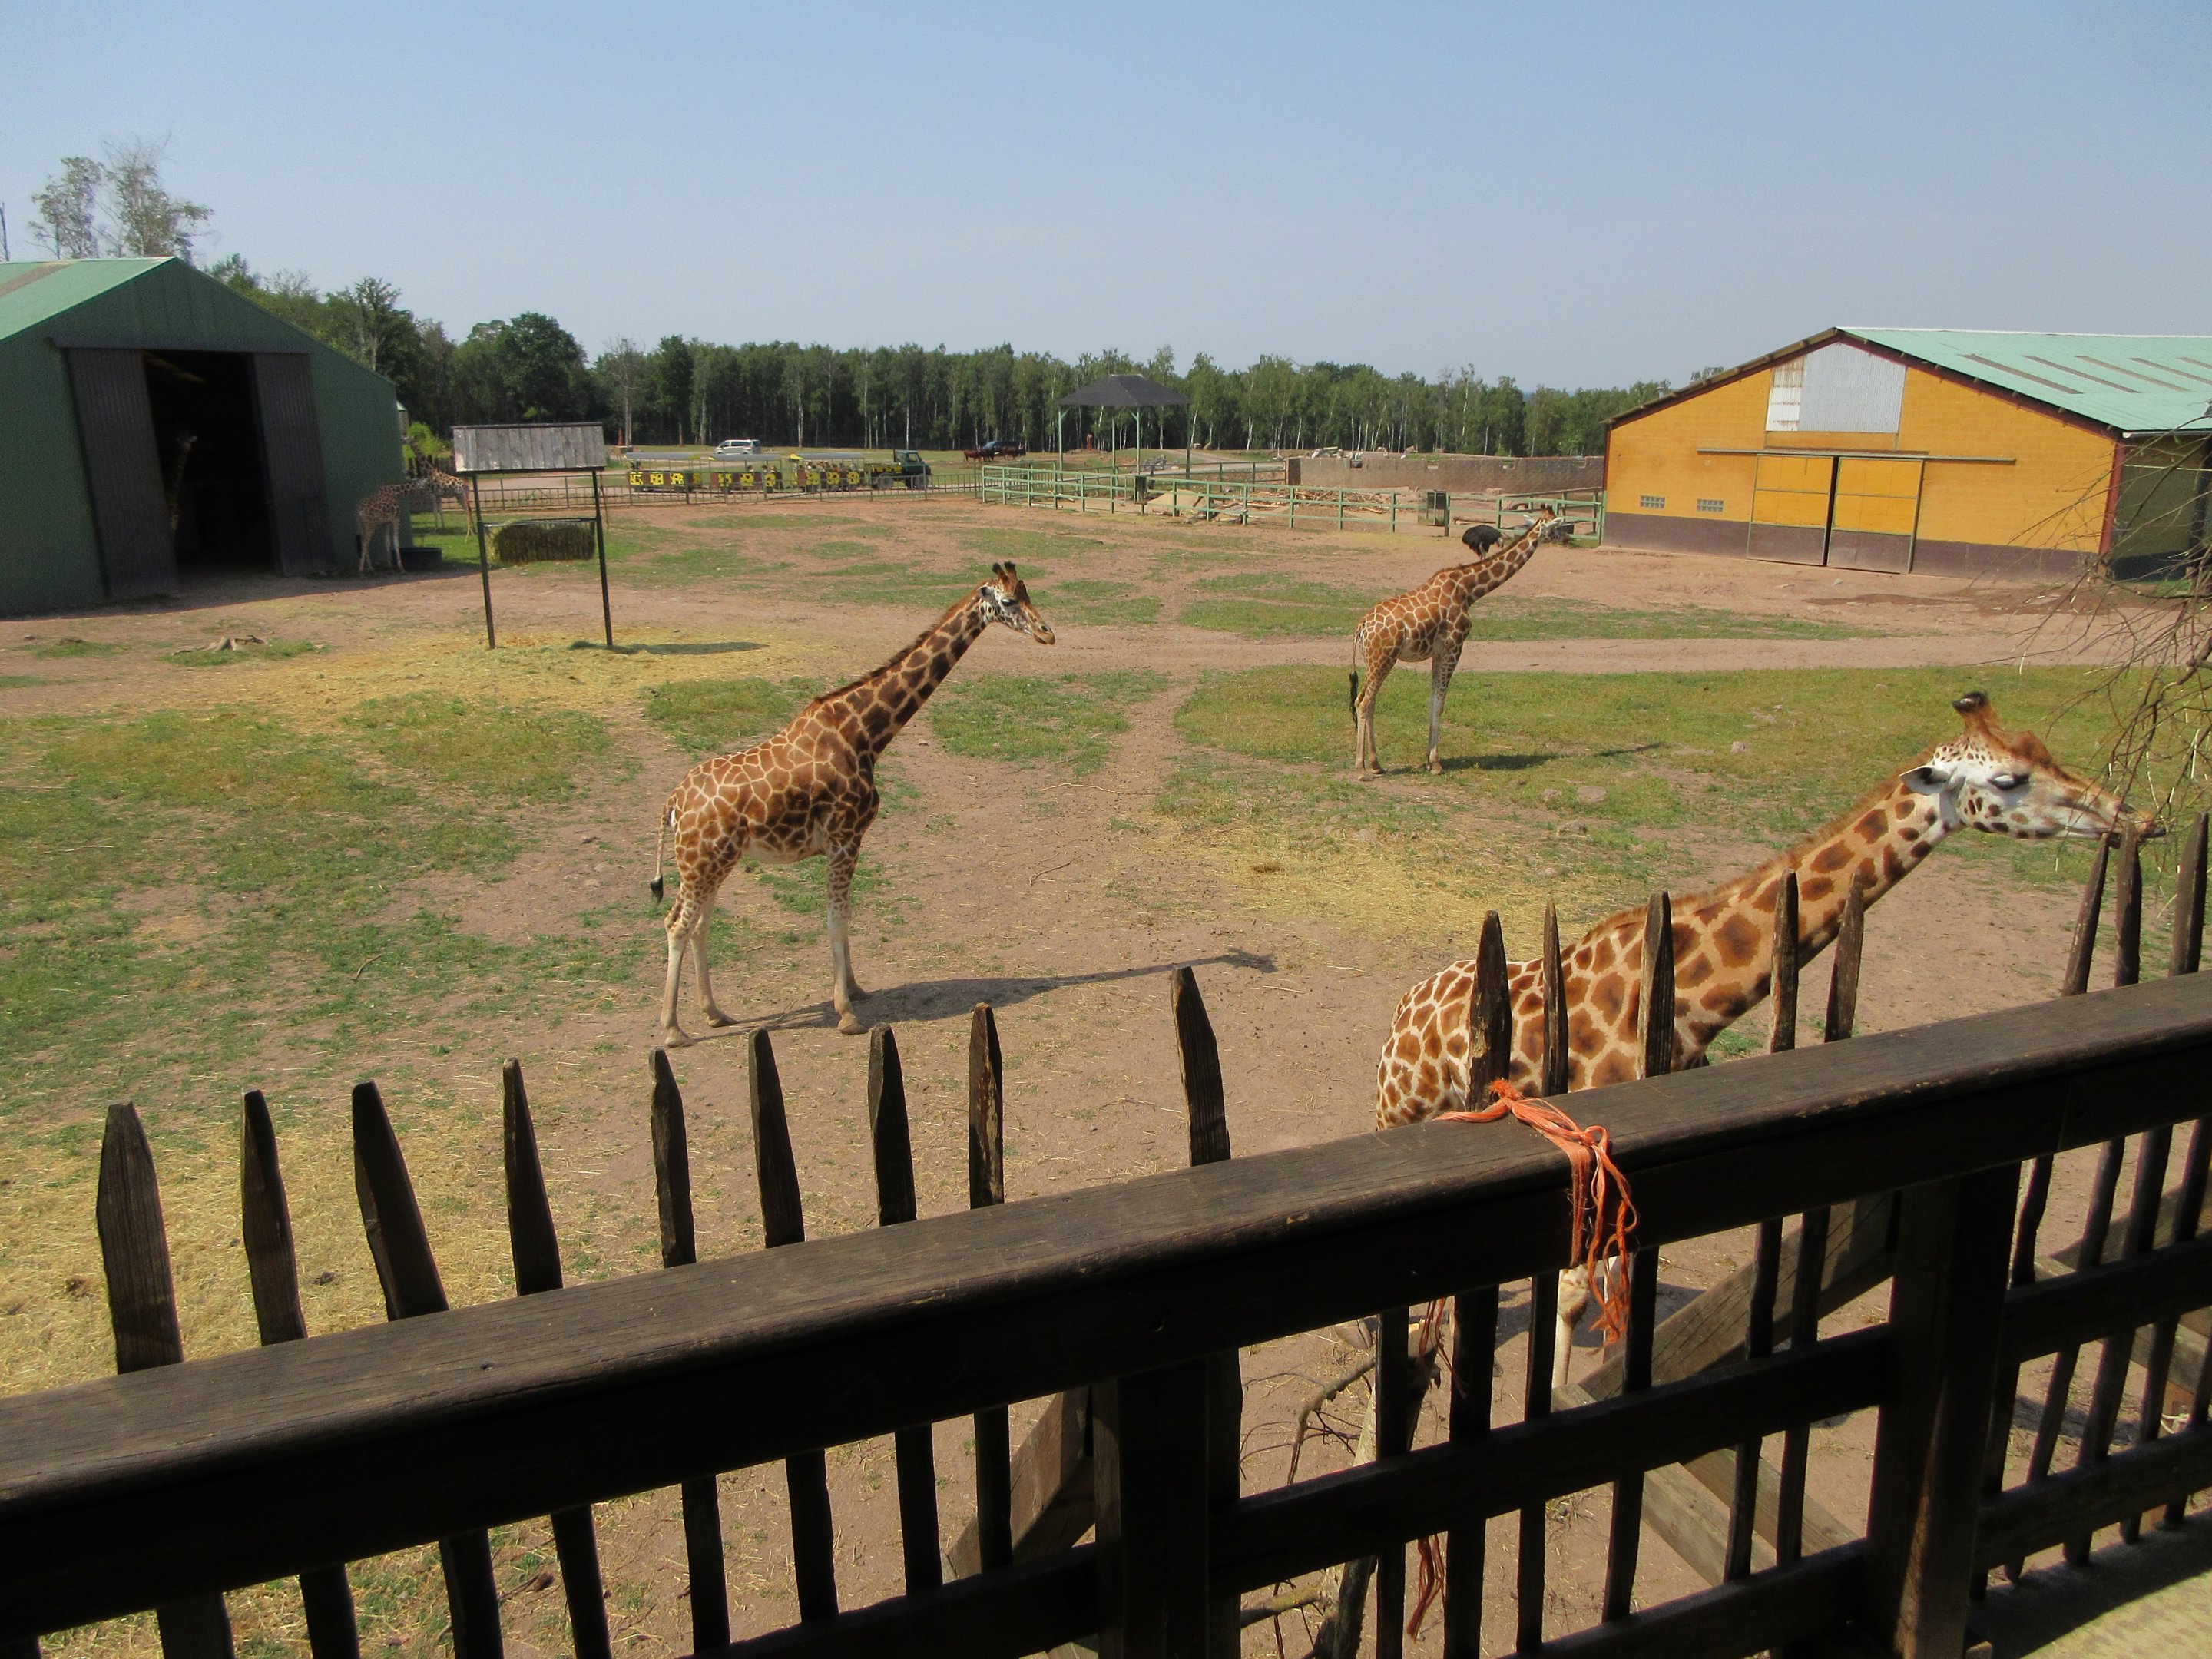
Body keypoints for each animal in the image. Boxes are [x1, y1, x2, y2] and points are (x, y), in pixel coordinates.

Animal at [651, 563, 1055, 1043]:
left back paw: (714, 1012)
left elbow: (844, 916)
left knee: (698, 924)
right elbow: (836, 917)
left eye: (1028, 593)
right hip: (700, 863)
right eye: (1009, 601)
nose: (1047, 633)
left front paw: (857, 990)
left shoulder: (849, 840)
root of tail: (673, 803)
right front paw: (845, 1013)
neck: (866, 733)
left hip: (713, 863)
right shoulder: (844, 836)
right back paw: (673, 1029)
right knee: (677, 924)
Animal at [1351, 507, 1573, 776]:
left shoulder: (1438, 652)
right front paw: (1436, 763)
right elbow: (1439, 703)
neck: (1469, 590)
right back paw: (1361, 768)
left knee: (1369, 701)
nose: (1567, 539)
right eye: (1557, 526)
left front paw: (1429, 760)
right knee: (1363, 702)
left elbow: (1432, 701)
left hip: (1374, 659)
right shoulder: (1454, 647)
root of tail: (1361, 627)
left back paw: (1376, 765)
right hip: (1384, 657)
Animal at [1372, 691, 2148, 1378]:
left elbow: (1612, 1278)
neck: (1691, 1003)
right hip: (1398, 1107)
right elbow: (1571, 1294)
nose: (2132, 816)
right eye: (2009, 779)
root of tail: (1405, 1007)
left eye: (2047, 751)